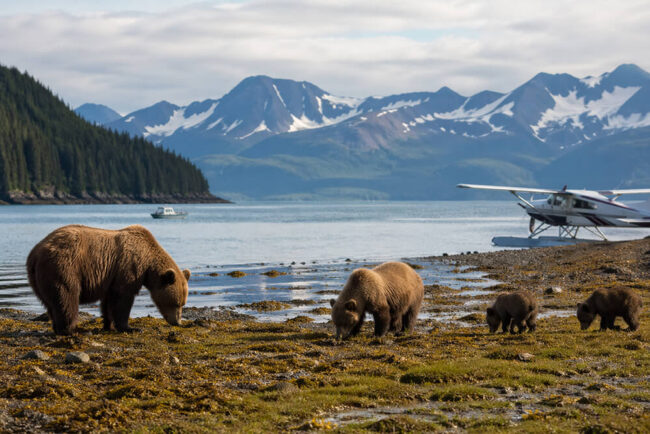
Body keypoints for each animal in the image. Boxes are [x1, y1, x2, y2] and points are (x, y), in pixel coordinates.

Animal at [26, 224, 190, 335]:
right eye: (176, 303)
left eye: (183, 303)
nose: (177, 322)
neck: (148, 263)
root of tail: (35, 253)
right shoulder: (128, 268)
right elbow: (122, 299)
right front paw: (130, 327)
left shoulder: (109, 276)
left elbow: (108, 302)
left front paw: (108, 325)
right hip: (64, 266)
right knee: (67, 296)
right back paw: (71, 329)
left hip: (38, 278)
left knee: (51, 302)